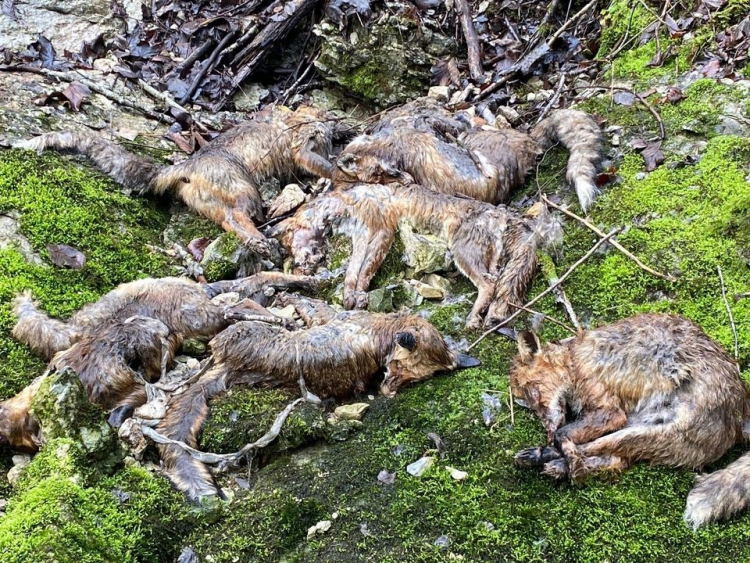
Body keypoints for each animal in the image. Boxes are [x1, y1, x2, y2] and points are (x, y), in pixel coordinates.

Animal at [14, 106, 334, 247]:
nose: (329, 119)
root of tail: (187, 167)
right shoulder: (300, 146)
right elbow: (318, 162)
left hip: (210, 202)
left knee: (227, 221)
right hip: (242, 187)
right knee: (236, 217)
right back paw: (258, 238)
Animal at [156, 294, 480, 500]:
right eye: (399, 371)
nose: (388, 391)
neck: (383, 333)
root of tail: (231, 367)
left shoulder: (333, 316)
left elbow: (311, 306)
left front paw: (290, 299)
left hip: (242, 331)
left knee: (245, 311)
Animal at [270, 154, 561, 329]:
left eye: (290, 247)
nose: (300, 271)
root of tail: (502, 212)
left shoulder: (382, 230)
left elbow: (364, 270)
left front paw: (359, 294)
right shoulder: (363, 235)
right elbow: (353, 273)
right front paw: (352, 297)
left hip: (462, 253)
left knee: (489, 285)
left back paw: (473, 319)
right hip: (485, 259)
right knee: (498, 281)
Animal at [508, 313, 750, 529]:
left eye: (533, 392)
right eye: (529, 403)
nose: (548, 431)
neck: (574, 359)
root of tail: (742, 408)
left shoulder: (610, 410)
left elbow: (564, 435)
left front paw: (566, 455)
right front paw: (557, 451)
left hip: (651, 432)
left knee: (601, 451)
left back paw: (557, 462)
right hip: (642, 428)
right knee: (618, 460)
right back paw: (551, 461)